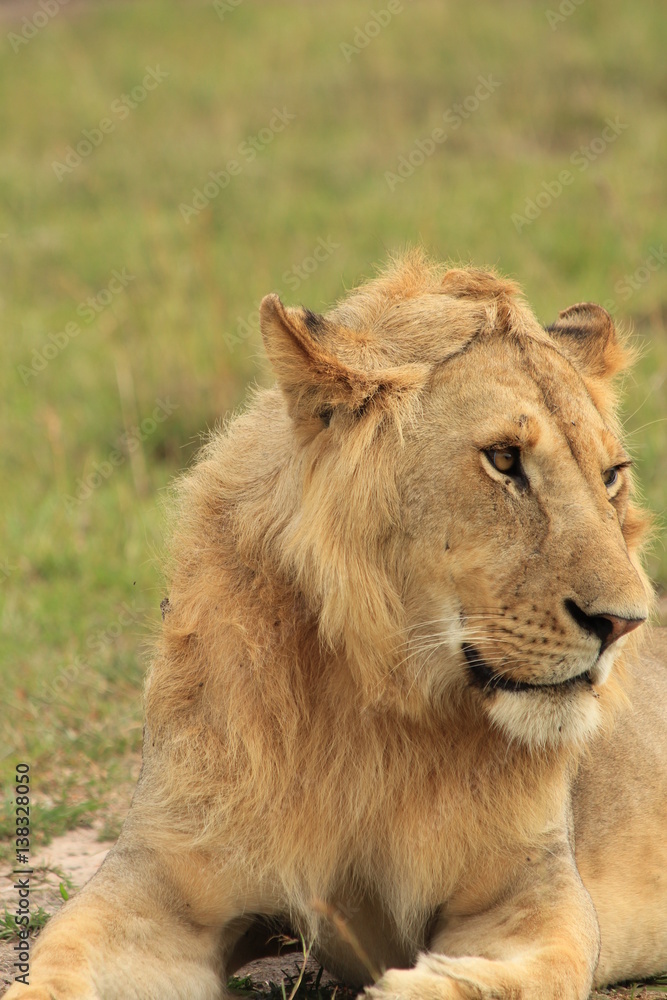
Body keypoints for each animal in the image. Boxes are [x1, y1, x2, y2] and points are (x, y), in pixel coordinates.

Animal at [9, 252, 667, 1000]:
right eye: (503, 459)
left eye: (611, 476)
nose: (622, 623)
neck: (376, 701)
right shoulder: (159, 884)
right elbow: (53, 963)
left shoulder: (532, 890)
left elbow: (526, 975)